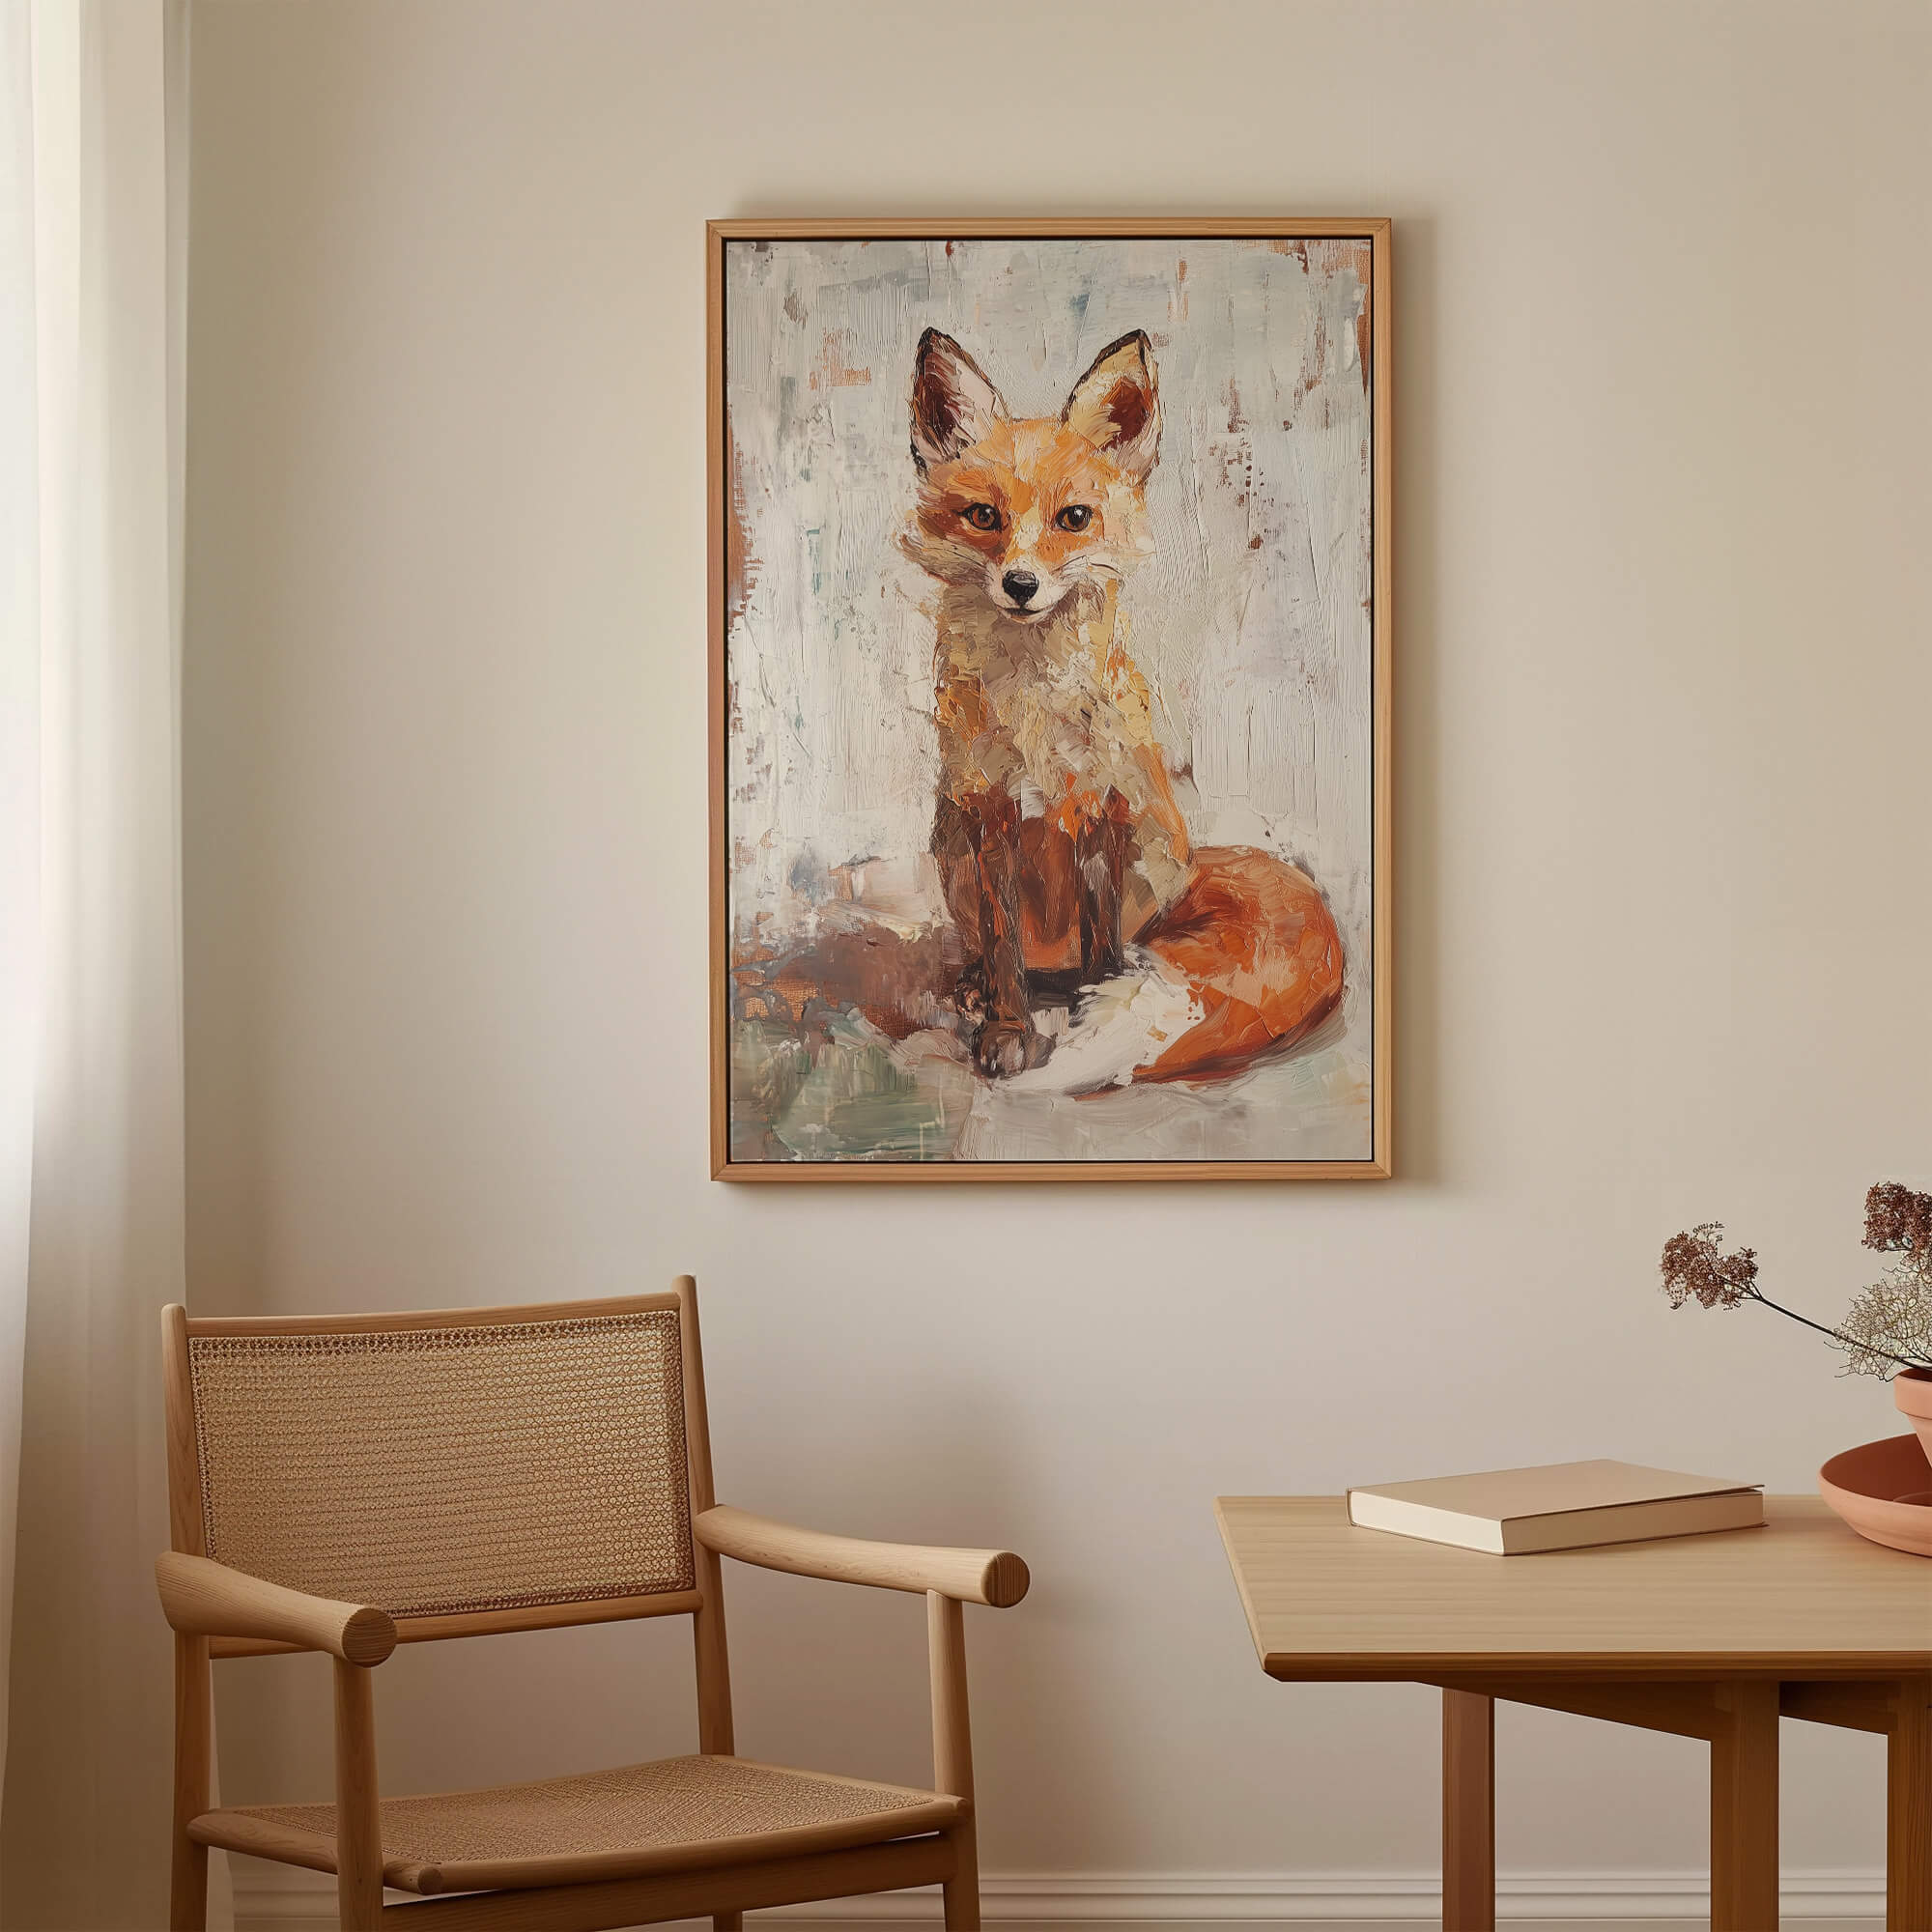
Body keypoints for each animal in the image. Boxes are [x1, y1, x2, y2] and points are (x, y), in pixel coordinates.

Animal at [903, 326, 1344, 1084]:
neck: (1037, 702)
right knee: (998, 952)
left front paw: (1094, 1002)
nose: (1020, 584)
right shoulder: (990, 811)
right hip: (951, 841)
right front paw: (1007, 1027)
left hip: (1146, 840)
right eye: (983, 516)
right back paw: (981, 986)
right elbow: (1004, 942)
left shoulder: (1102, 801)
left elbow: (1101, 933)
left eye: (1073, 519)